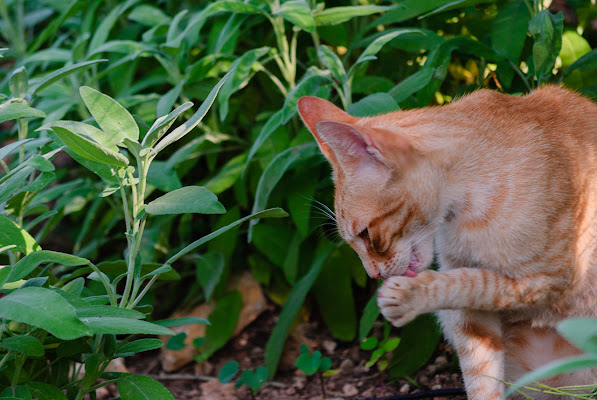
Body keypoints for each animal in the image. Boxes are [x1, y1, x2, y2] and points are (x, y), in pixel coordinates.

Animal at [300, 86, 596, 398]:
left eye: (366, 234)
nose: (373, 275)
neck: (464, 215)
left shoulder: (553, 280)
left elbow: (469, 281)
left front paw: (408, 296)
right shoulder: (472, 319)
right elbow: (481, 378)